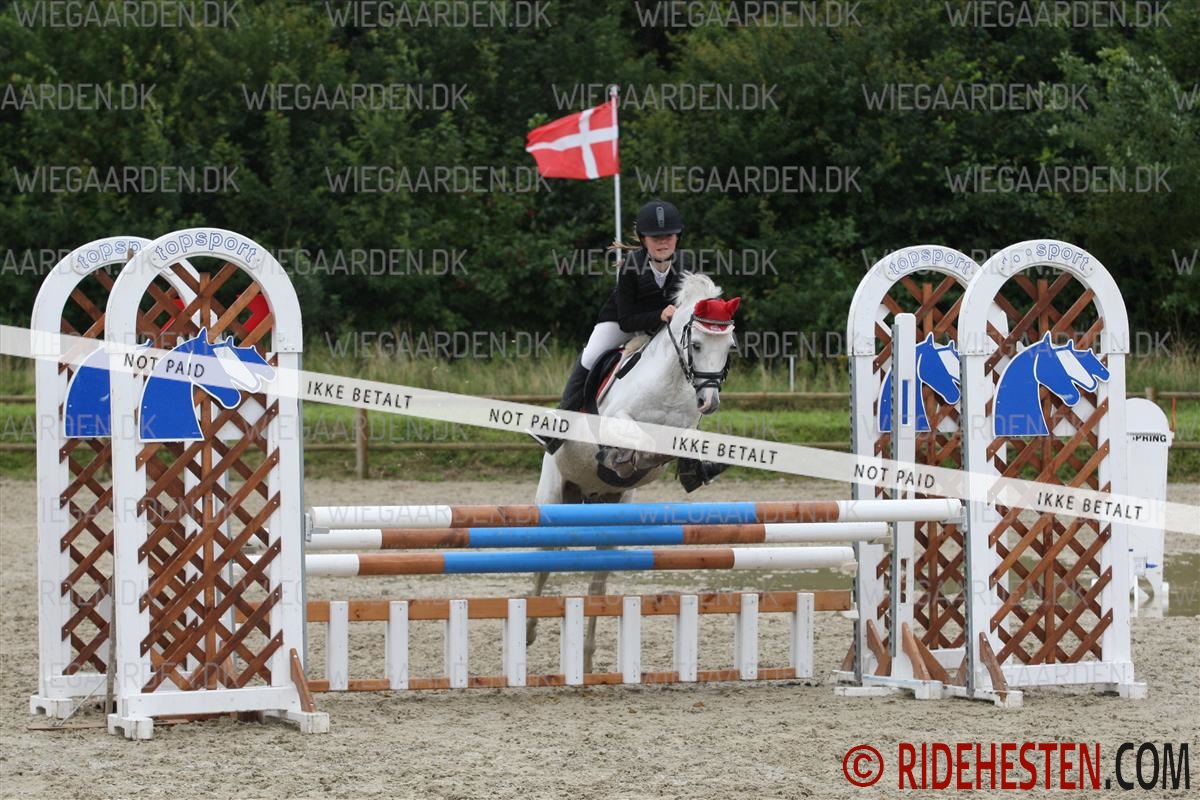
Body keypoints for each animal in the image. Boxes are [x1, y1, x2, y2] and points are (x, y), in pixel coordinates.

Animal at [528, 272, 741, 671]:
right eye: (698, 344)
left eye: (730, 347)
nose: (709, 402)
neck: (670, 383)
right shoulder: (618, 419)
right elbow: (634, 437)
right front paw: (622, 457)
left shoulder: (685, 427)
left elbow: (680, 443)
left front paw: (689, 467)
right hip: (553, 495)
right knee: (544, 561)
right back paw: (530, 630)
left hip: (612, 509)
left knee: (597, 582)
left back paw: (587, 659)